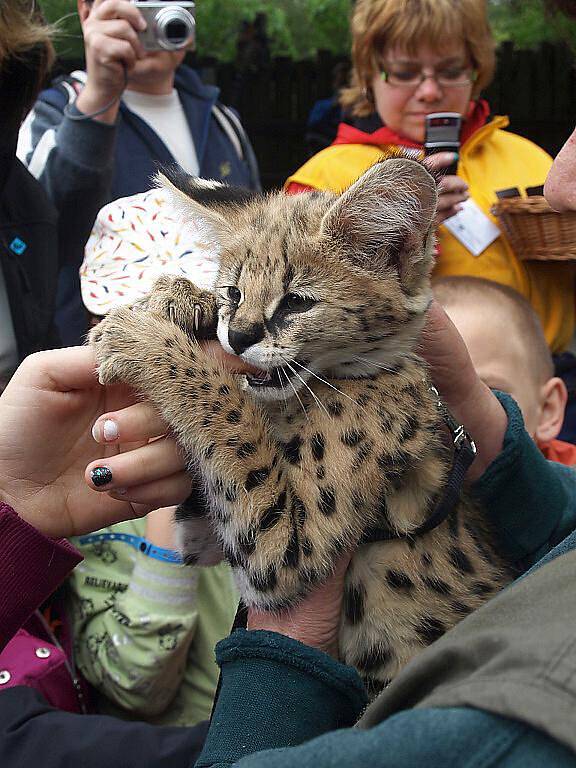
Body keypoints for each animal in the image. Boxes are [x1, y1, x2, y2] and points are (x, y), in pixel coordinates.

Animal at [92, 159, 510, 692]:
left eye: (296, 302)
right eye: (234, 292)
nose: (237, 335)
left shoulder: (289, 547)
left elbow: (226, 413)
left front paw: (142, 338)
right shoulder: (204, 537)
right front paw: (179, 299)